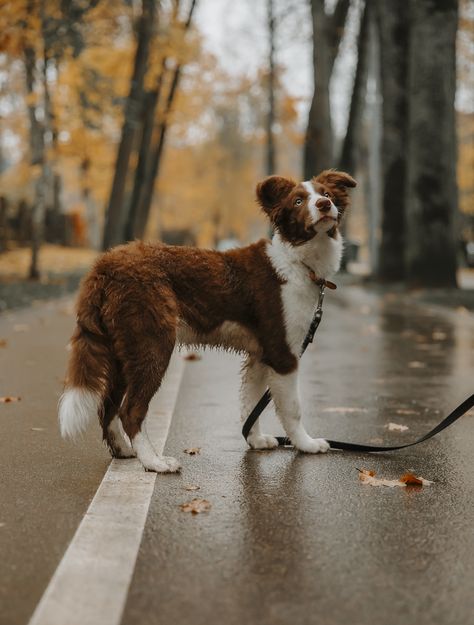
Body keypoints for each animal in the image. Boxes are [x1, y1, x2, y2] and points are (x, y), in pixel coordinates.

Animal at [59, 168, 356, 470]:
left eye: (327, 194)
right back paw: (154, 462)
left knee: (107, 405)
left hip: (123, 352)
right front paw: (306, 444)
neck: (296, 261)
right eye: (298, 201)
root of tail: (105, 265)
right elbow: (292, 408)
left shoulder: (259, 355)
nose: (324, 205)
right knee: (130, 410)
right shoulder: (283, 354)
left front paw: (255, 440)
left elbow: (250, 402)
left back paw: (123, 450)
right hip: (152, 345)